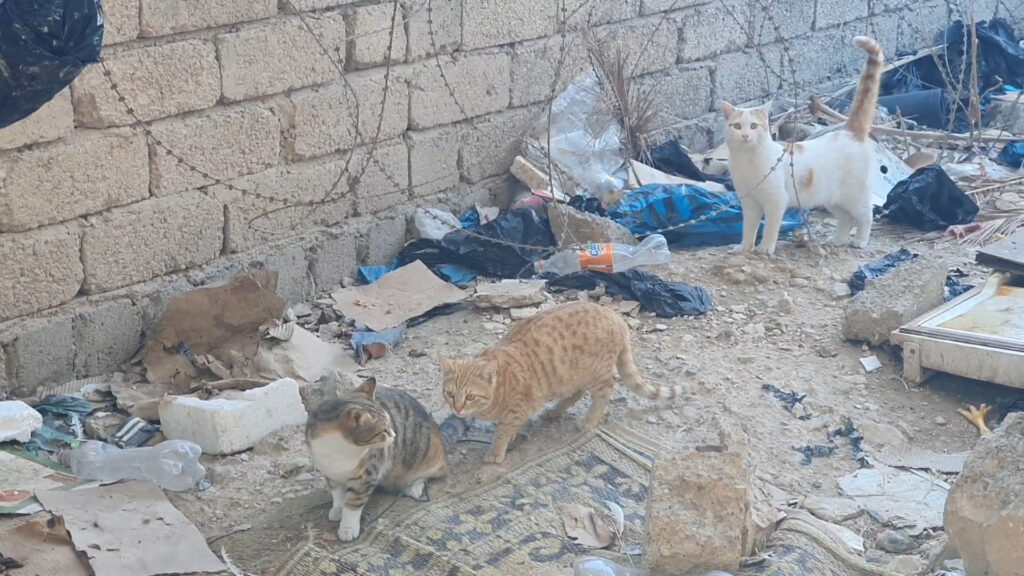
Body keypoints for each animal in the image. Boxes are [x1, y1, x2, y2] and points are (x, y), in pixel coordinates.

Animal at [436, 301, 675, 461]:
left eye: (470, 396)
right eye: (450, 394)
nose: (457, 409)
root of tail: (615, 316)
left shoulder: (520, 407)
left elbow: (504, 429)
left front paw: (497, 450)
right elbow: (509, 427)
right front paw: (511, 437)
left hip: (596, 373)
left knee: (606, 390)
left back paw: (589, 421)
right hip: (569, 376)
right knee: (577, 392)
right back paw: (555, 410)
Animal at [724, 34, 884, 252]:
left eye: (754, 126)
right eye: (738, 126)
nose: (746, 136)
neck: (747, 160)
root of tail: (849, 131)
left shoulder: (776, 201)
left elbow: (770, 228)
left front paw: (765, 248)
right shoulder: (749, 203)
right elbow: (749, 228)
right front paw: (744, 248)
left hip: (854, 195)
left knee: (866, 214)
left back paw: (860, 240)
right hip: (832, 199)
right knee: (846, 218)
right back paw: (837, 239)